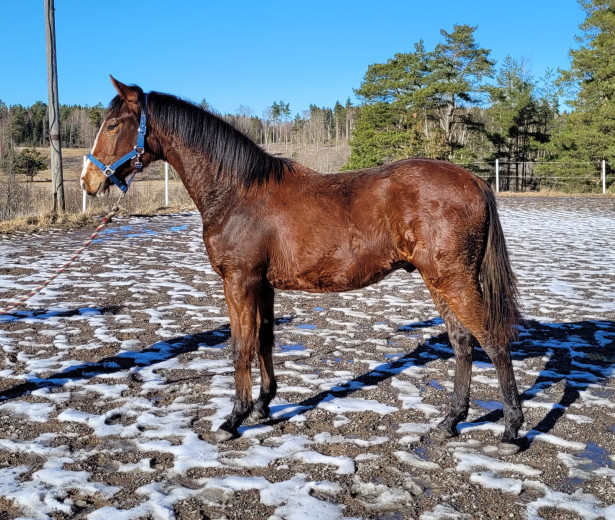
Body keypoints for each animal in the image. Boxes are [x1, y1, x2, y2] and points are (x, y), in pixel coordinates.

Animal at [82, 75, 524, 452]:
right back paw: (450, 422)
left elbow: (240, 345)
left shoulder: (239, 281)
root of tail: (474, 181)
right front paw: (263, 406)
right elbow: (264, 340)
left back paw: (511, 430)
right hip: (438, 280)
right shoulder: (262, 285)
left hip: (453, 279)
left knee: (492, 339)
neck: (237, 191)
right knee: (463, 342)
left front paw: (233, 419)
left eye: (113, 125)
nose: (89, 180)